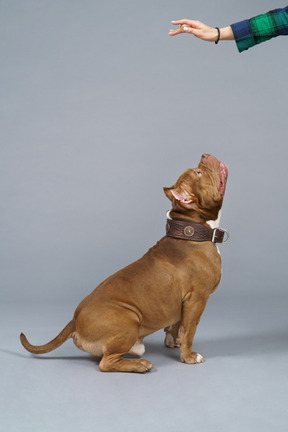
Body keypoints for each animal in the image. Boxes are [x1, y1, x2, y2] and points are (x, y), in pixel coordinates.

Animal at [19, 154, 228, 372]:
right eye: (199, 172)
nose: (205, 155)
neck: (191, 229)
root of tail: (74, 321)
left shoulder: (183, 303)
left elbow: (176, 325)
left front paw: (173, 342)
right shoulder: (197, 299)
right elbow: (189, 330)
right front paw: (188, 356)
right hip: (129, 320)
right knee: (106, 363)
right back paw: (140, 365)